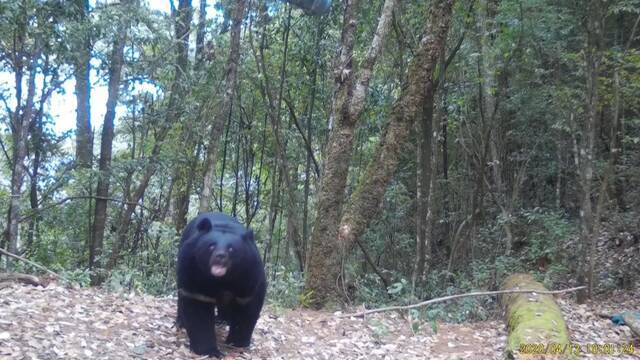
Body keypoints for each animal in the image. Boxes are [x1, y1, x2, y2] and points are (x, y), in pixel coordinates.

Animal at [176, 212, 266, 356]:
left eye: (231, 249)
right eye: (211, 245)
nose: (220, 256)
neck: (222, 280)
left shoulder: (250, 276)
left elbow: (247, 308)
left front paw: (237, 343)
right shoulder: (192, 271)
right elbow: (198, 309)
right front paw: (210, 351)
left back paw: (223, 319)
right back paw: (181, 323)